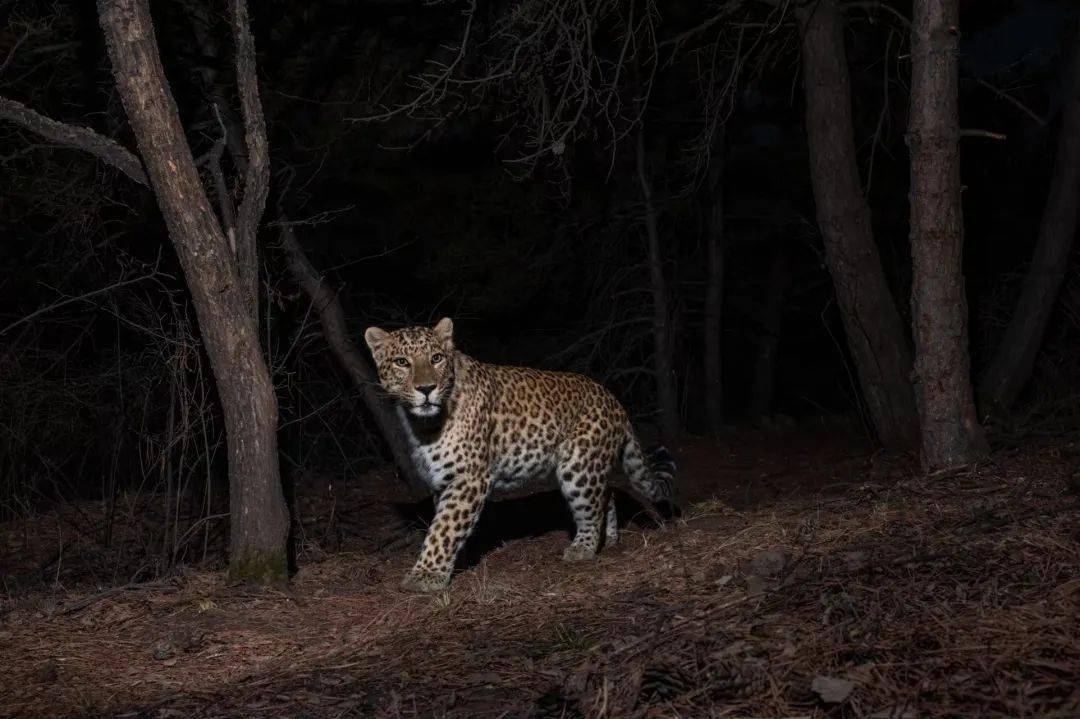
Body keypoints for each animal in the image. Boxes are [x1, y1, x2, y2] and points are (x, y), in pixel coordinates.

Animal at [367, 317, 678, 591]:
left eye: (436, 358)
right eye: (402, 362)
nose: (427, 389)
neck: (421, 425)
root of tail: (615, 401)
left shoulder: (469, 478)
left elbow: (444, 528)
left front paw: (426, 576)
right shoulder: (442, 480)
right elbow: (446, 523)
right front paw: (456, 562)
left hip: (579, 466)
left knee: (590, 507)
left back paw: (583, 549)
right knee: (607, 495)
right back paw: (611, 540)